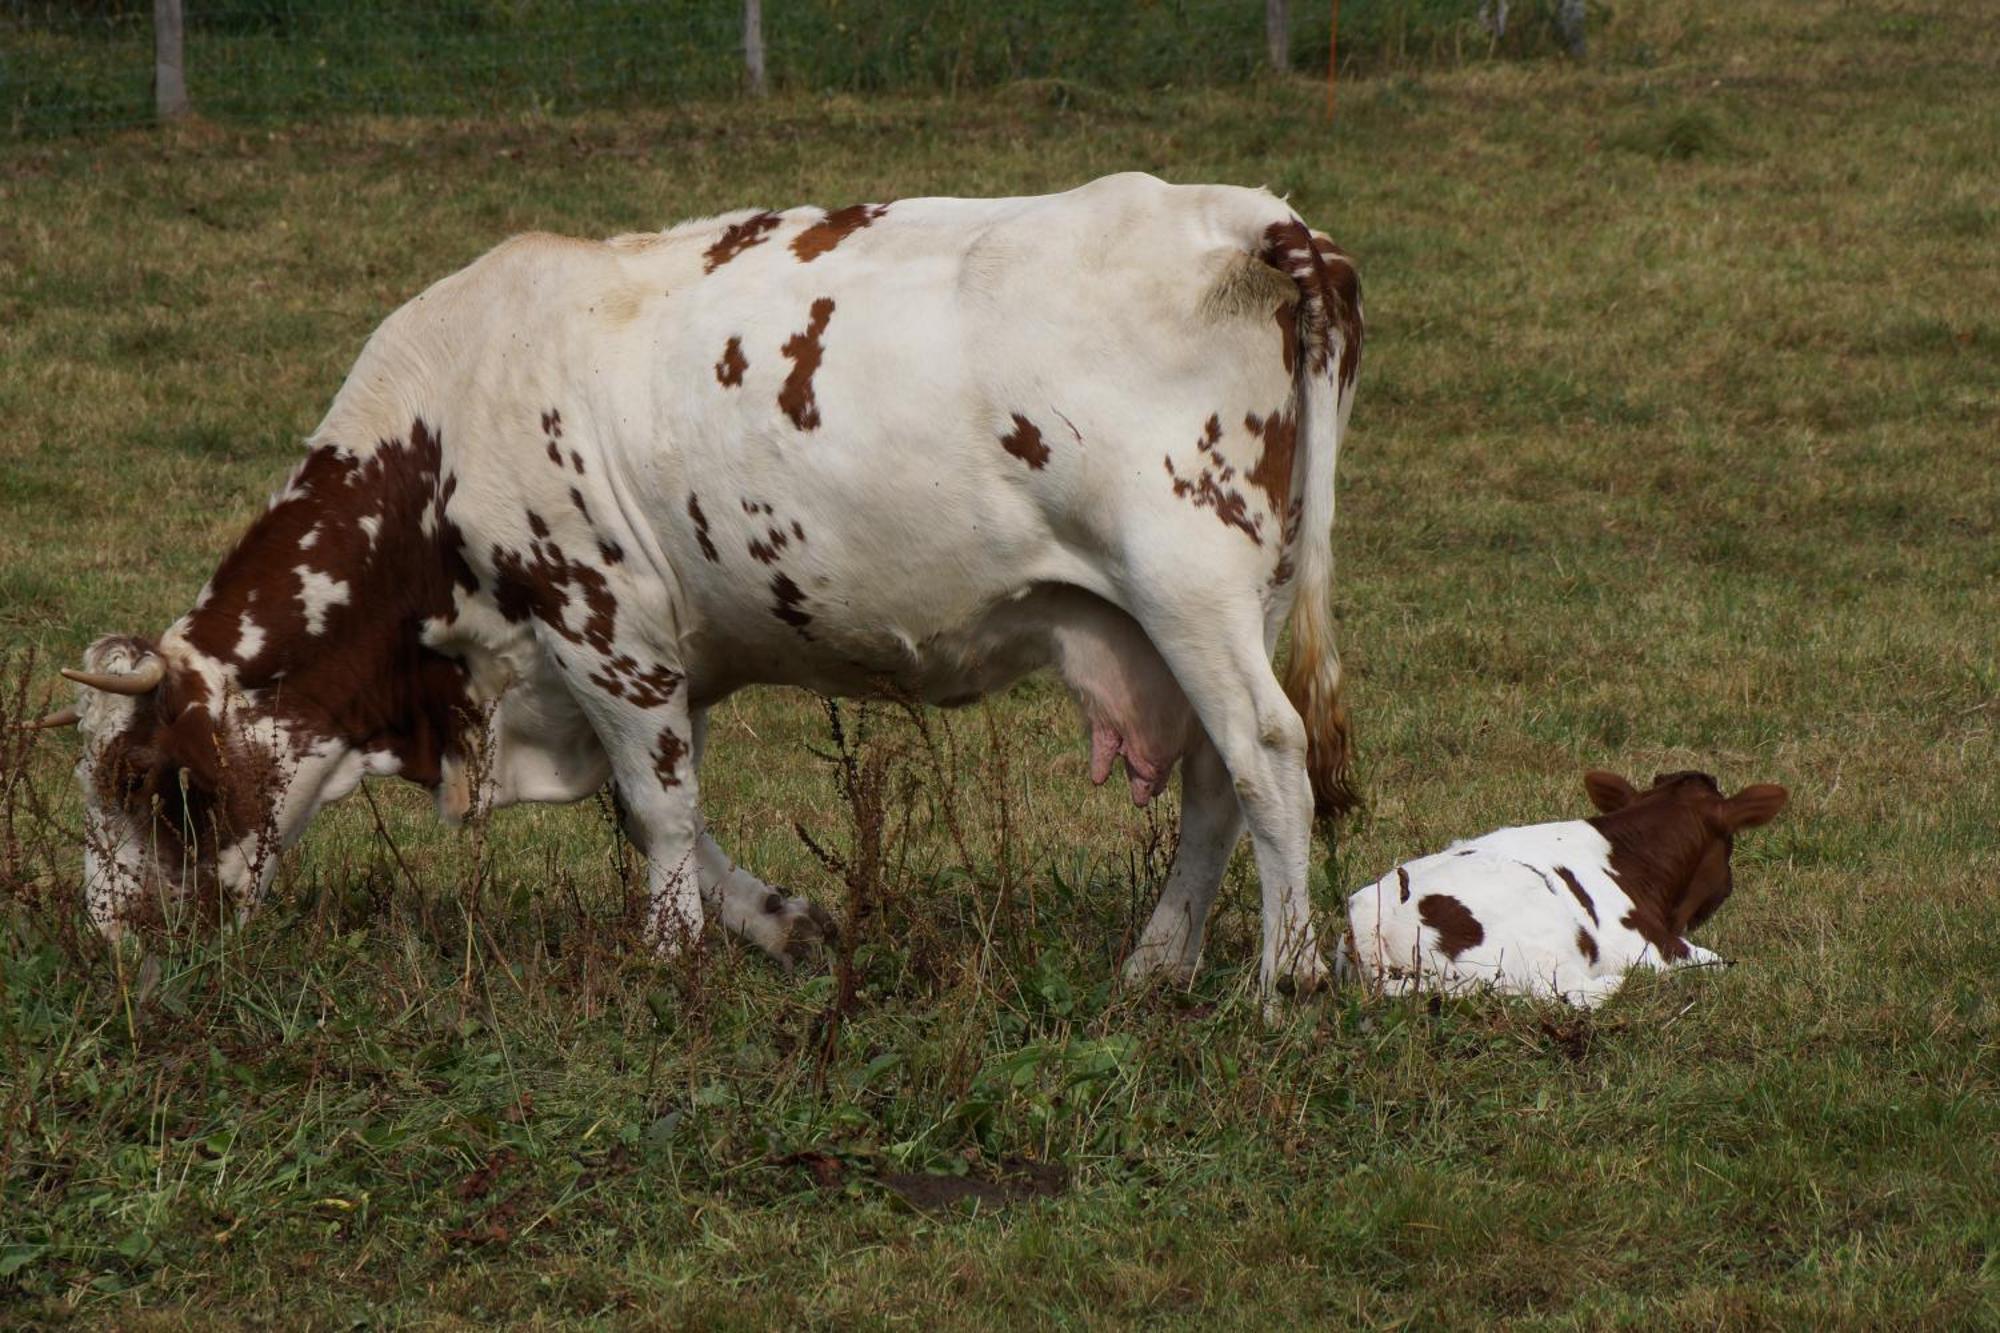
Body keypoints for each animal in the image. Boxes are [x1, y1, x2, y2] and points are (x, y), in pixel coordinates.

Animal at [39, 169, 1368, 996]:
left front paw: (668, 955)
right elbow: (653, 812)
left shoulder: (602, 621)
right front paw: (782, 925)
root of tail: (1252, 218)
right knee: (1212, 780)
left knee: (1265, 752)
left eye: (144, 781)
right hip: (1198, 608)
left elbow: (661, 804)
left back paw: (1283, 974)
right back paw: (1157, 963)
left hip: (1185, 579)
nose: (113, 946)